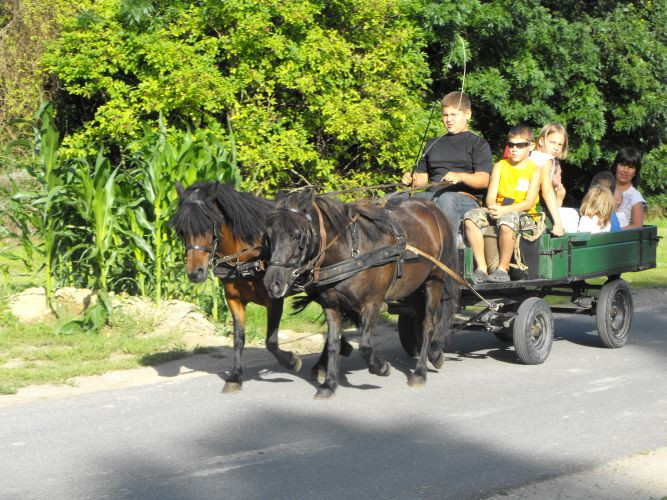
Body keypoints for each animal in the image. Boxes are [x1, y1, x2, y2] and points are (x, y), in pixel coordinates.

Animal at [170, 182, 352, 392]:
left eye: (209, 225)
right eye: (181, 230)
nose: (195, 273)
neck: (248, 255)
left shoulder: (274, 298)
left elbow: (271, 341)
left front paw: (291, 361)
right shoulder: (233, 299)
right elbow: (238, 338)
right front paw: (235, 377)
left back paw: (324, 364)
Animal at [264, 189, 462, 400]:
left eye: (297, 236)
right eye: (268, 236)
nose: (272, 283)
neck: (350, 252)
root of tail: (432, 208)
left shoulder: (372, 303)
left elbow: (366, 347)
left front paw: (381, 367)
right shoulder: (332, 306)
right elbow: (333, 343)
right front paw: (329, 384)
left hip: (434, 279)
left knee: (428, 323)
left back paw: (420, 372)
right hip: (415, 287)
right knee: (419, 317)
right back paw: (435, 355)